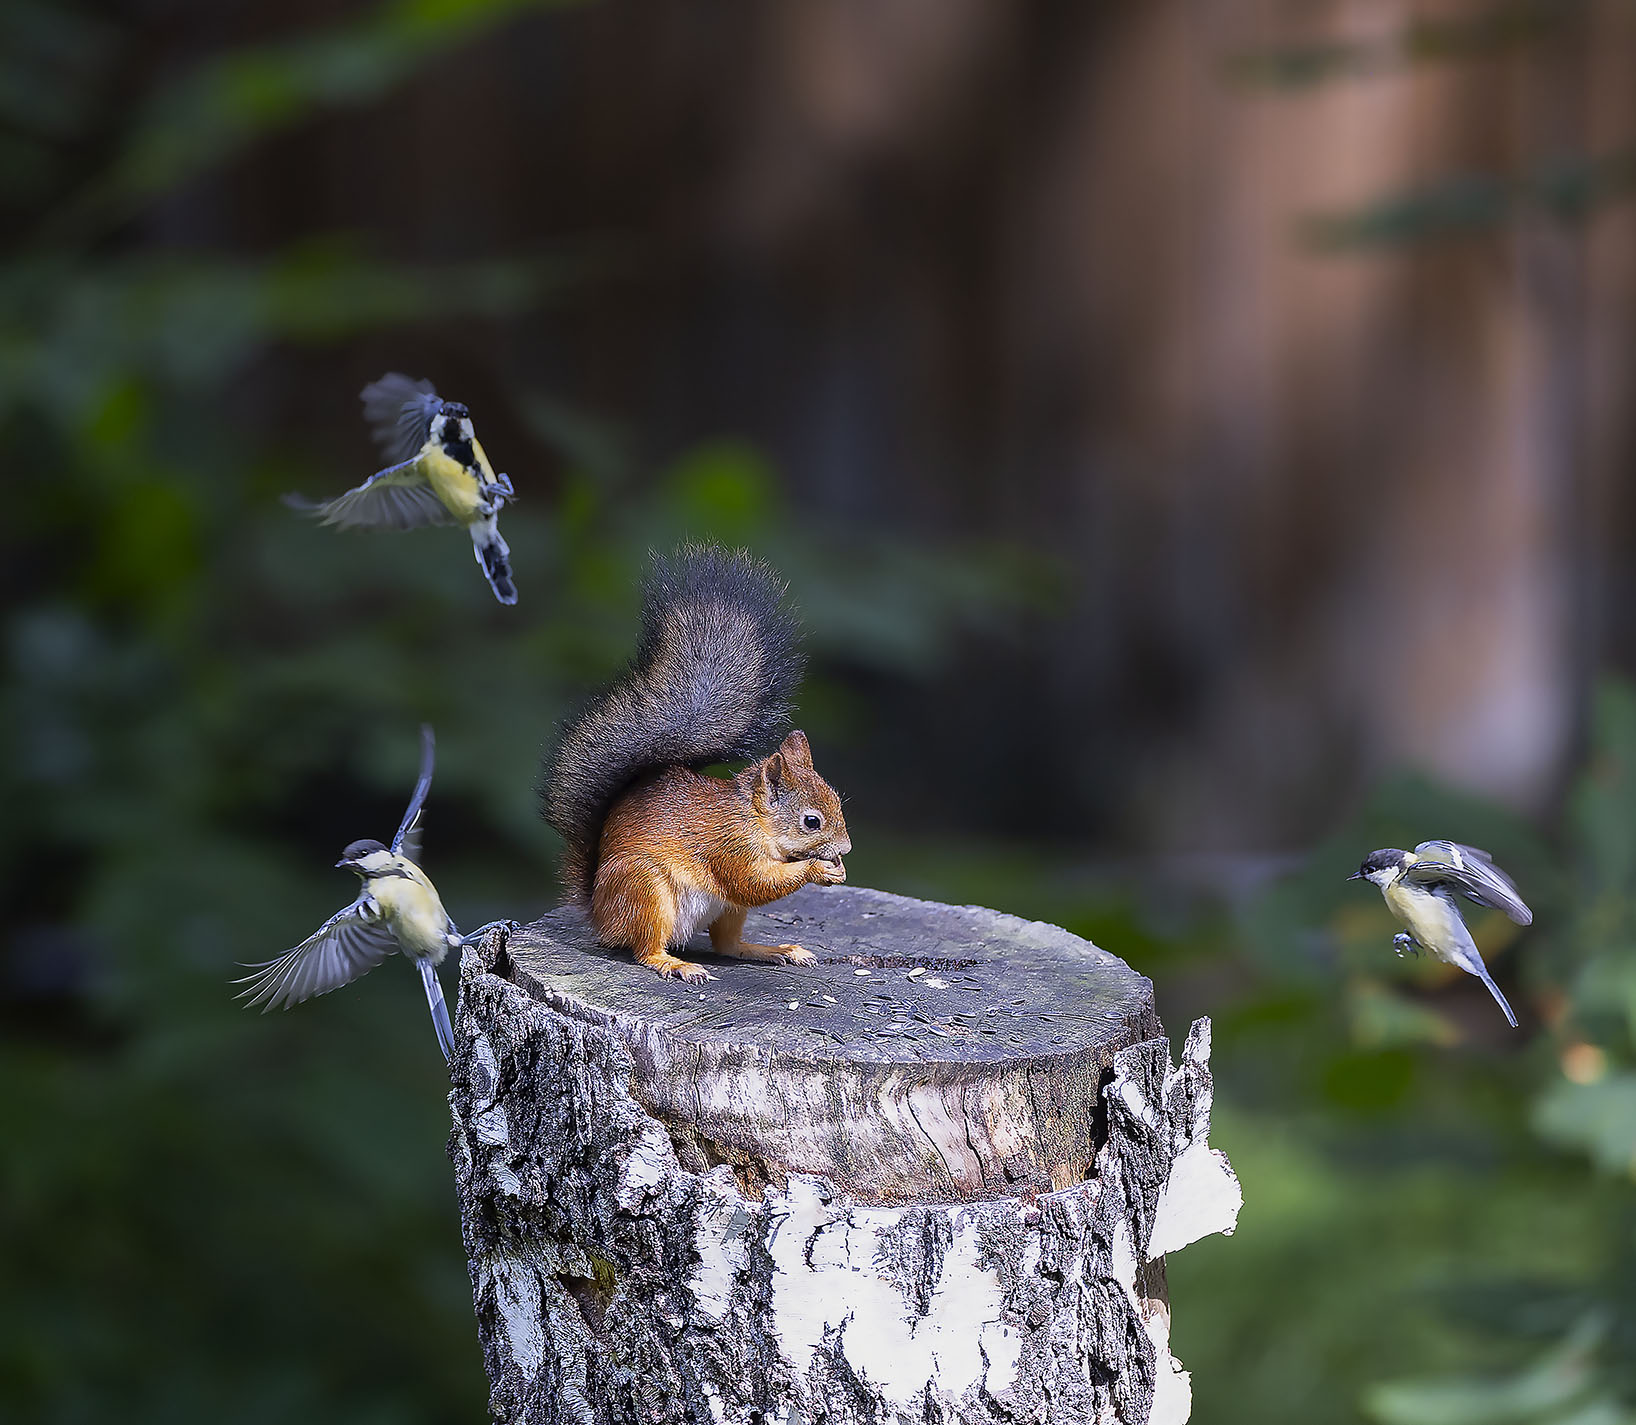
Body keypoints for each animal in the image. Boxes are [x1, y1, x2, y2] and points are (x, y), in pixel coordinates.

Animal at [541, 544, 851, 983]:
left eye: (838, 802)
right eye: (812, 821)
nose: (847, 848)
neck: (754, 820)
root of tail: (600, 915)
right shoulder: (729, 845)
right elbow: (753, 881)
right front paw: (819, 870)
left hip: (726, 910)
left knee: (728, 946)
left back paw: (775, 949)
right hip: (646, 890)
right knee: (645, 948)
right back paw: (674, 962)